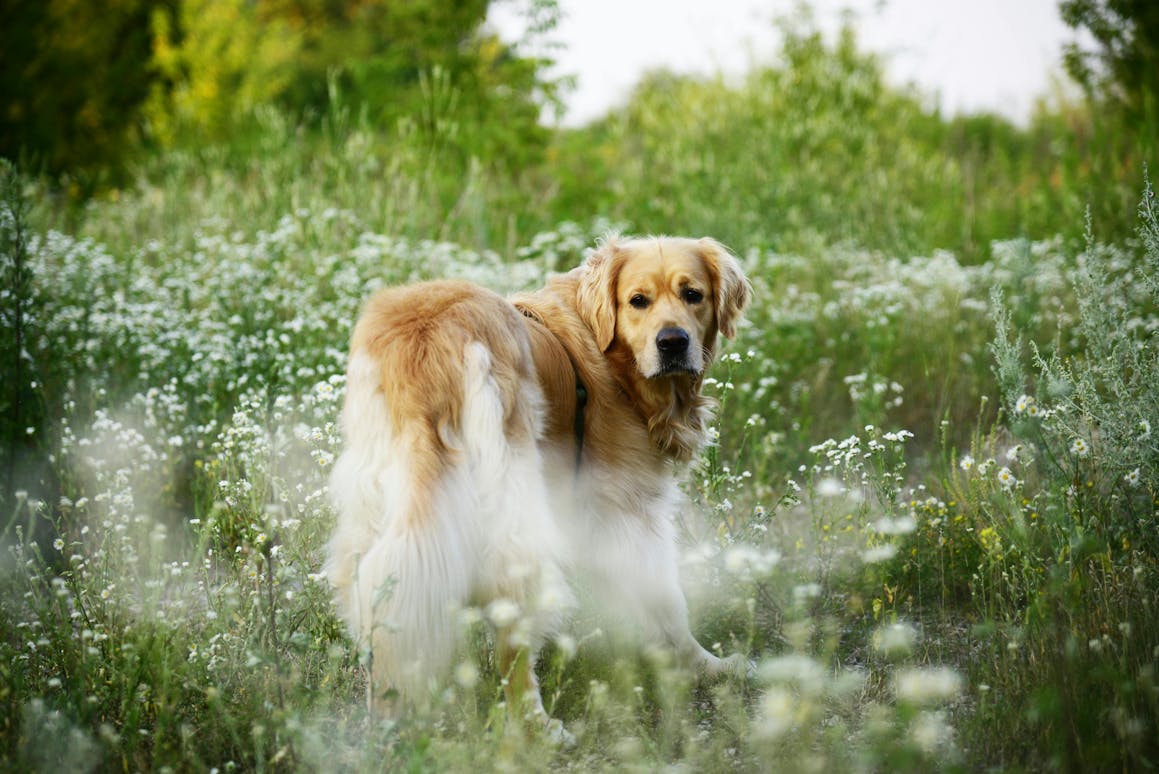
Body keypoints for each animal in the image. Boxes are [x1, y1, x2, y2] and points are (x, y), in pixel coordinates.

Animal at [326, 234, 755, 727]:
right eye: (637, 301)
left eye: (692, 294)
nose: (672, 342)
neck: (610, 358)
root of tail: (427, 337)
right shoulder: (629, 510)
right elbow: (667, 599)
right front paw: (706, 665)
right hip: (515, 513)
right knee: (512, 623)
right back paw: (536, 725)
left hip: (375, 508)